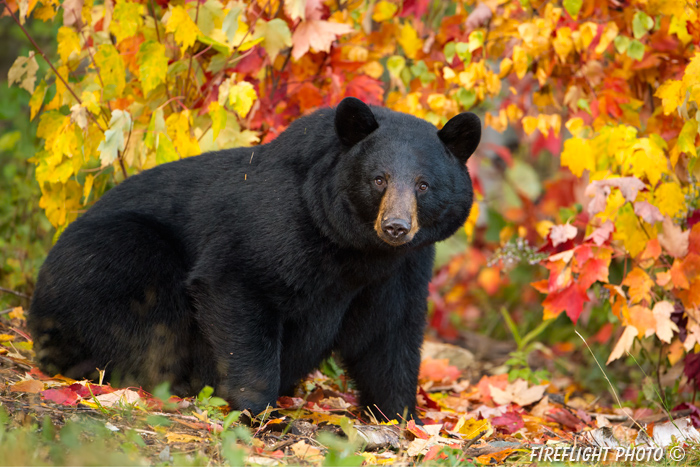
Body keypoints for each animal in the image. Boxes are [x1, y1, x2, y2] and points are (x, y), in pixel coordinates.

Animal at [28, 97, 482, 422]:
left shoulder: (401, 268)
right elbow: (238, 283)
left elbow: (390, 333)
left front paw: (402, 418)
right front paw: (259, 409)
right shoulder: (278, 224)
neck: (355, 250)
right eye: (379, 179)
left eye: (423, 185)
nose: (396, 227)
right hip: (110, 256)